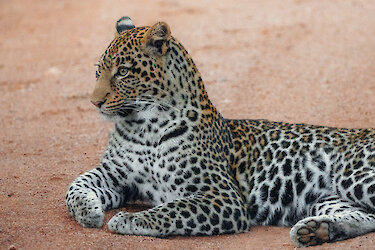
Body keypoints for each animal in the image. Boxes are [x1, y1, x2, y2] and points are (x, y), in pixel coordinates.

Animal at [66, 16, 375, 247]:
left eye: (123, 72)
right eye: (98, 71)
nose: (94, 102)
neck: (143, 127)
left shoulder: (222, 195)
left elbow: (172, 209)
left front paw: (129, 219)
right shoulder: (113, 173)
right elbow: (75, 185)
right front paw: (88, 212)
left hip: (354, 176)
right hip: (328, 199)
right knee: (368, 217)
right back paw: (316, 230)